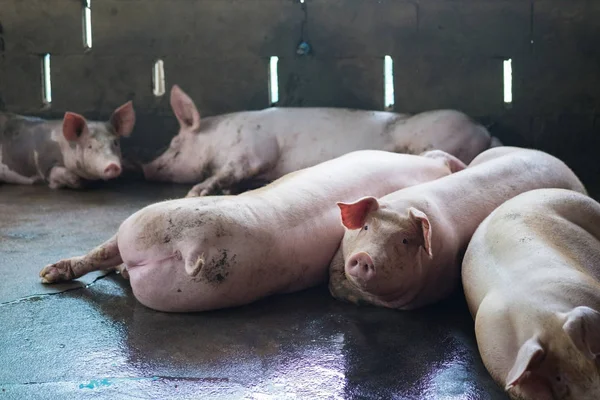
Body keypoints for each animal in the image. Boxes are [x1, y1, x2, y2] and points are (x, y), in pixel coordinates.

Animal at [0, 103, 136, 191]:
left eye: (115, 143)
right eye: (90, 146)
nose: (112, 165)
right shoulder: (45, 164)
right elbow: (56, 174)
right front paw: (76, 182)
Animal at [41, 149, 464, 312]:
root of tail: (189, 243)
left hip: (144, 231)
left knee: (108, 254)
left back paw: (60, 274)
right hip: (141, 225)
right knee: (103, 253)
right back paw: (49, 275)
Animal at [143, 85, 500, 198]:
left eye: (174, 144)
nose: (145, 167)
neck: (217, 142)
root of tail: (484, 131)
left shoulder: (254, 149)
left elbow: (232, 170)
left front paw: (196, 192)